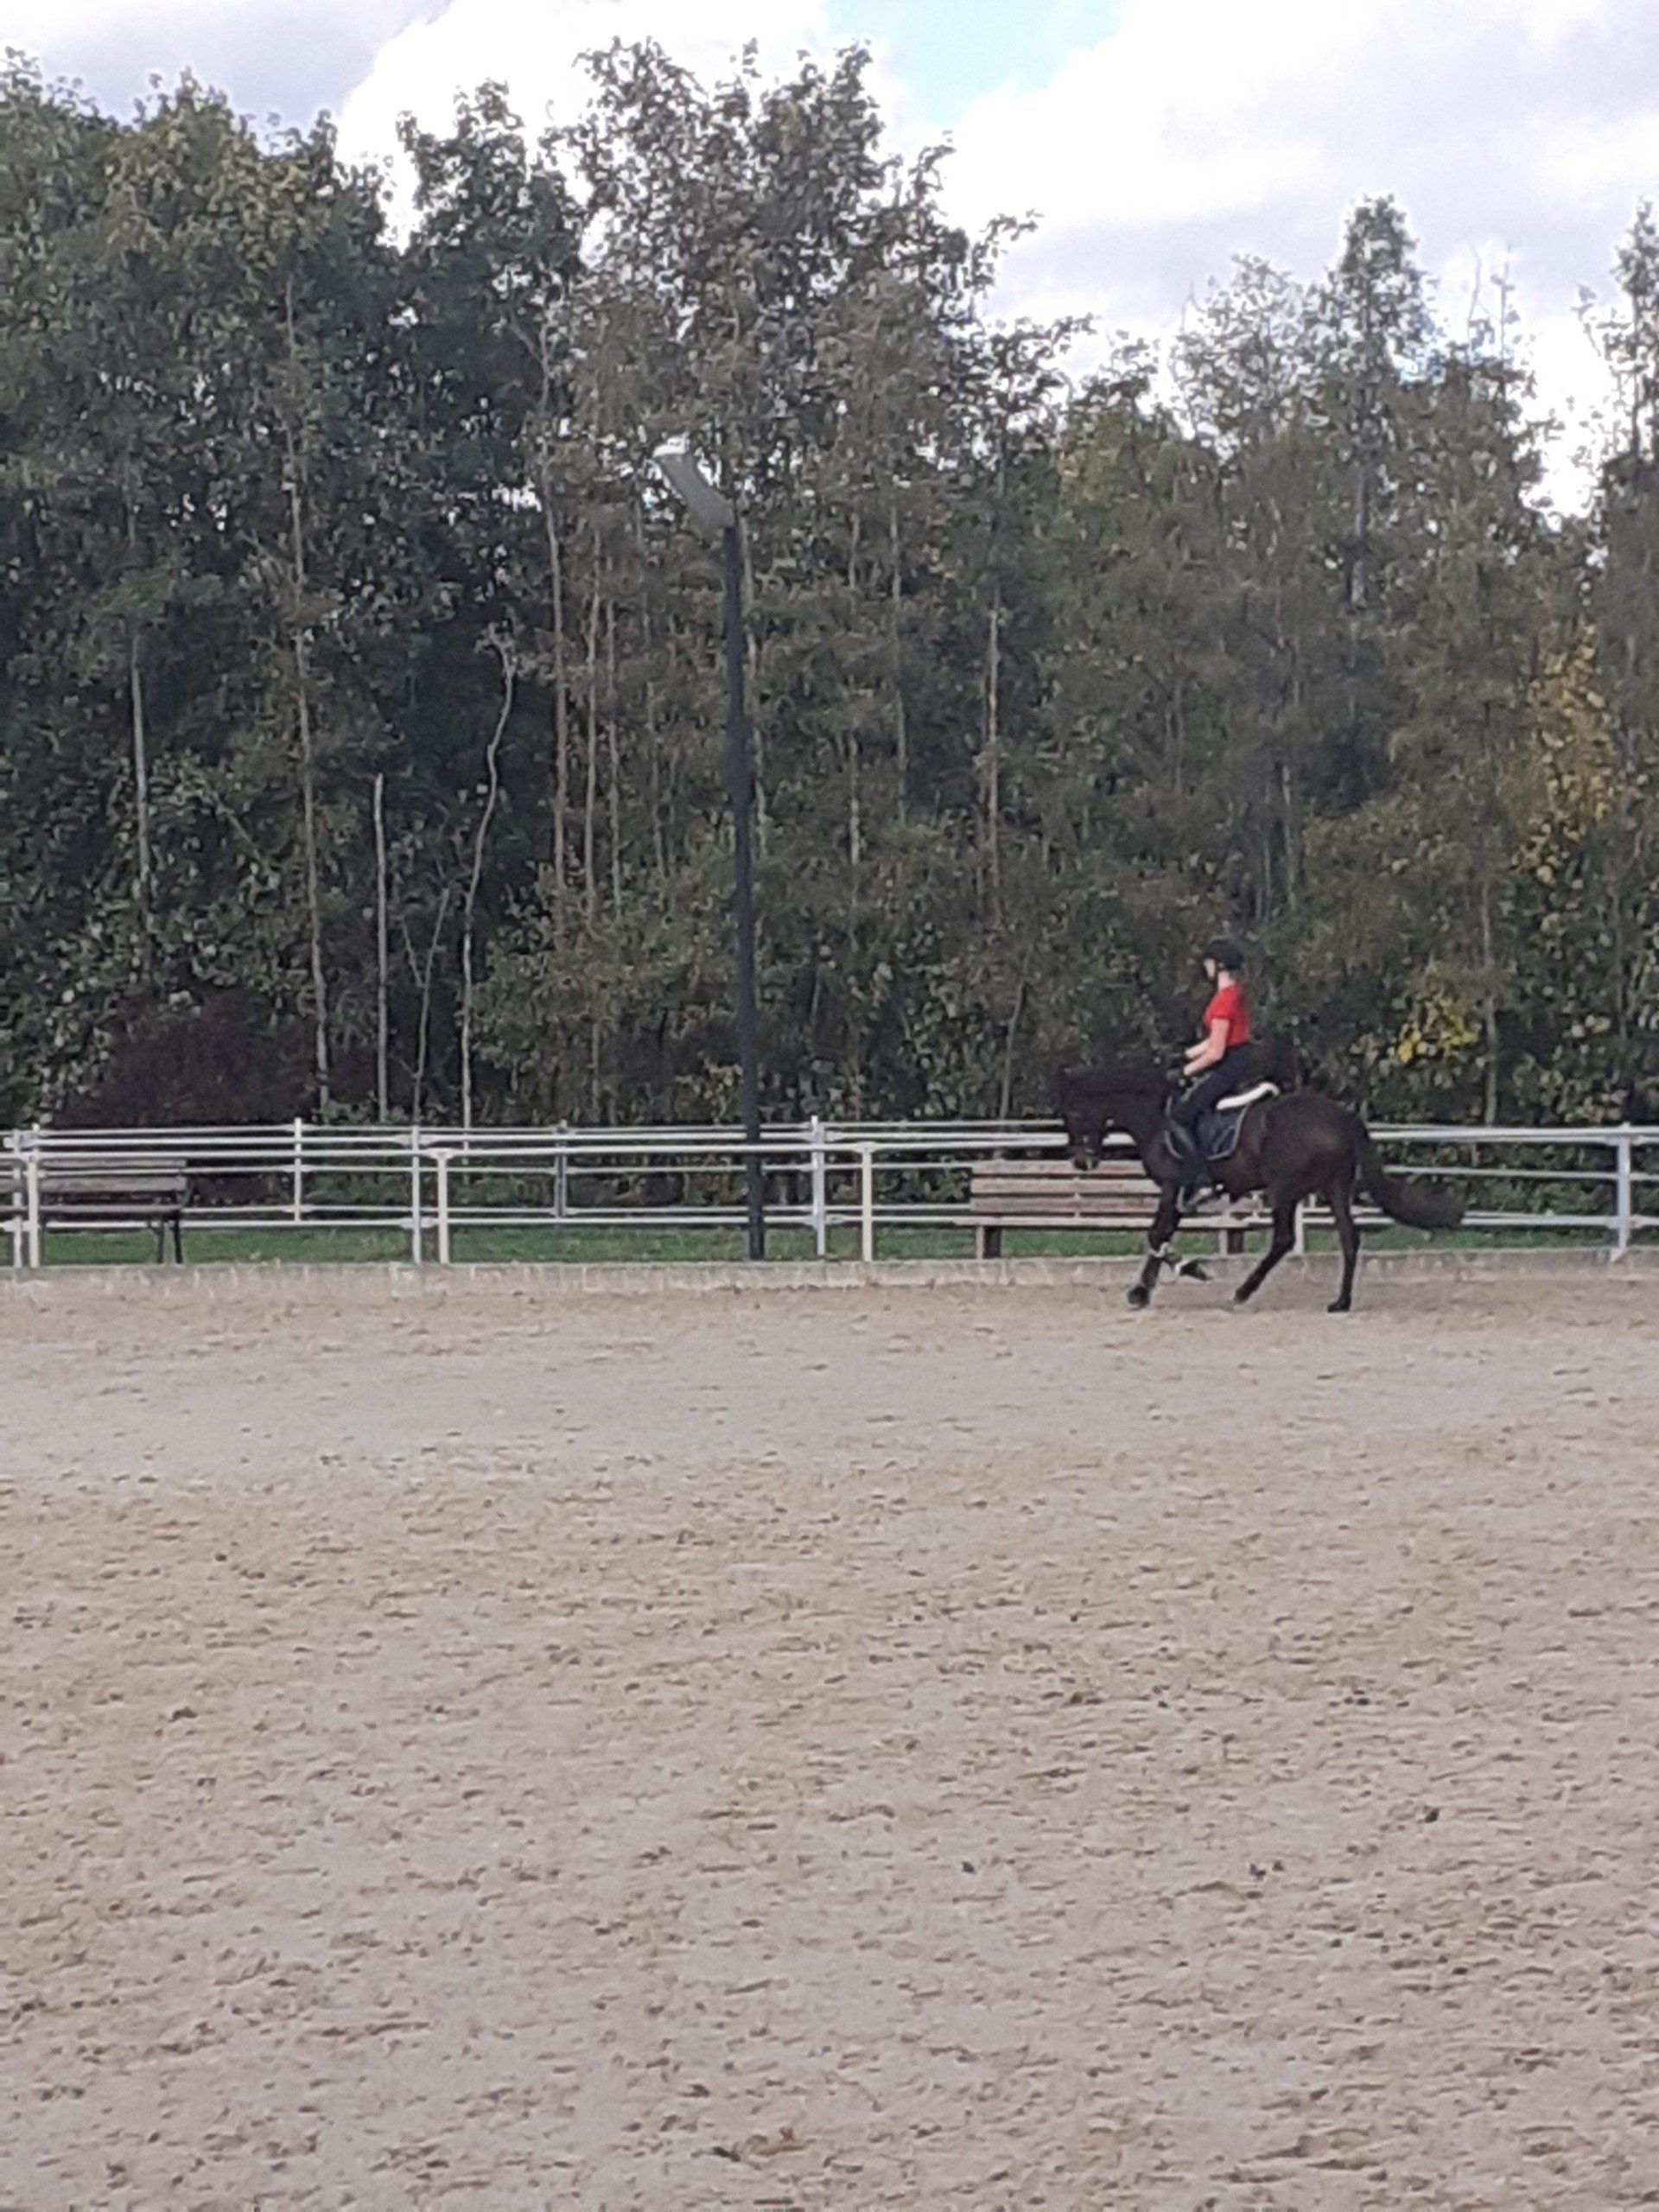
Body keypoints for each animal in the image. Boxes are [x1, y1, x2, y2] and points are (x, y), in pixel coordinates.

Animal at [1055, 1062, 1463, 1313]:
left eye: (1073, 1113)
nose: (1080, 1162)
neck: (1157, 1117)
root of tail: (1342, 1117)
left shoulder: (1174, 1186)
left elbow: (1156, 1235)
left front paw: (1188, 1271)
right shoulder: (1176, 1193)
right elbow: (1161, 1235)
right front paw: (1143, 1291)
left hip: (1283, 1189)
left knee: (1283, 1239)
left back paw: (1242, 1292)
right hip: (1333, 1188)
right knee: (1349, 1238)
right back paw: (1340, 1302)